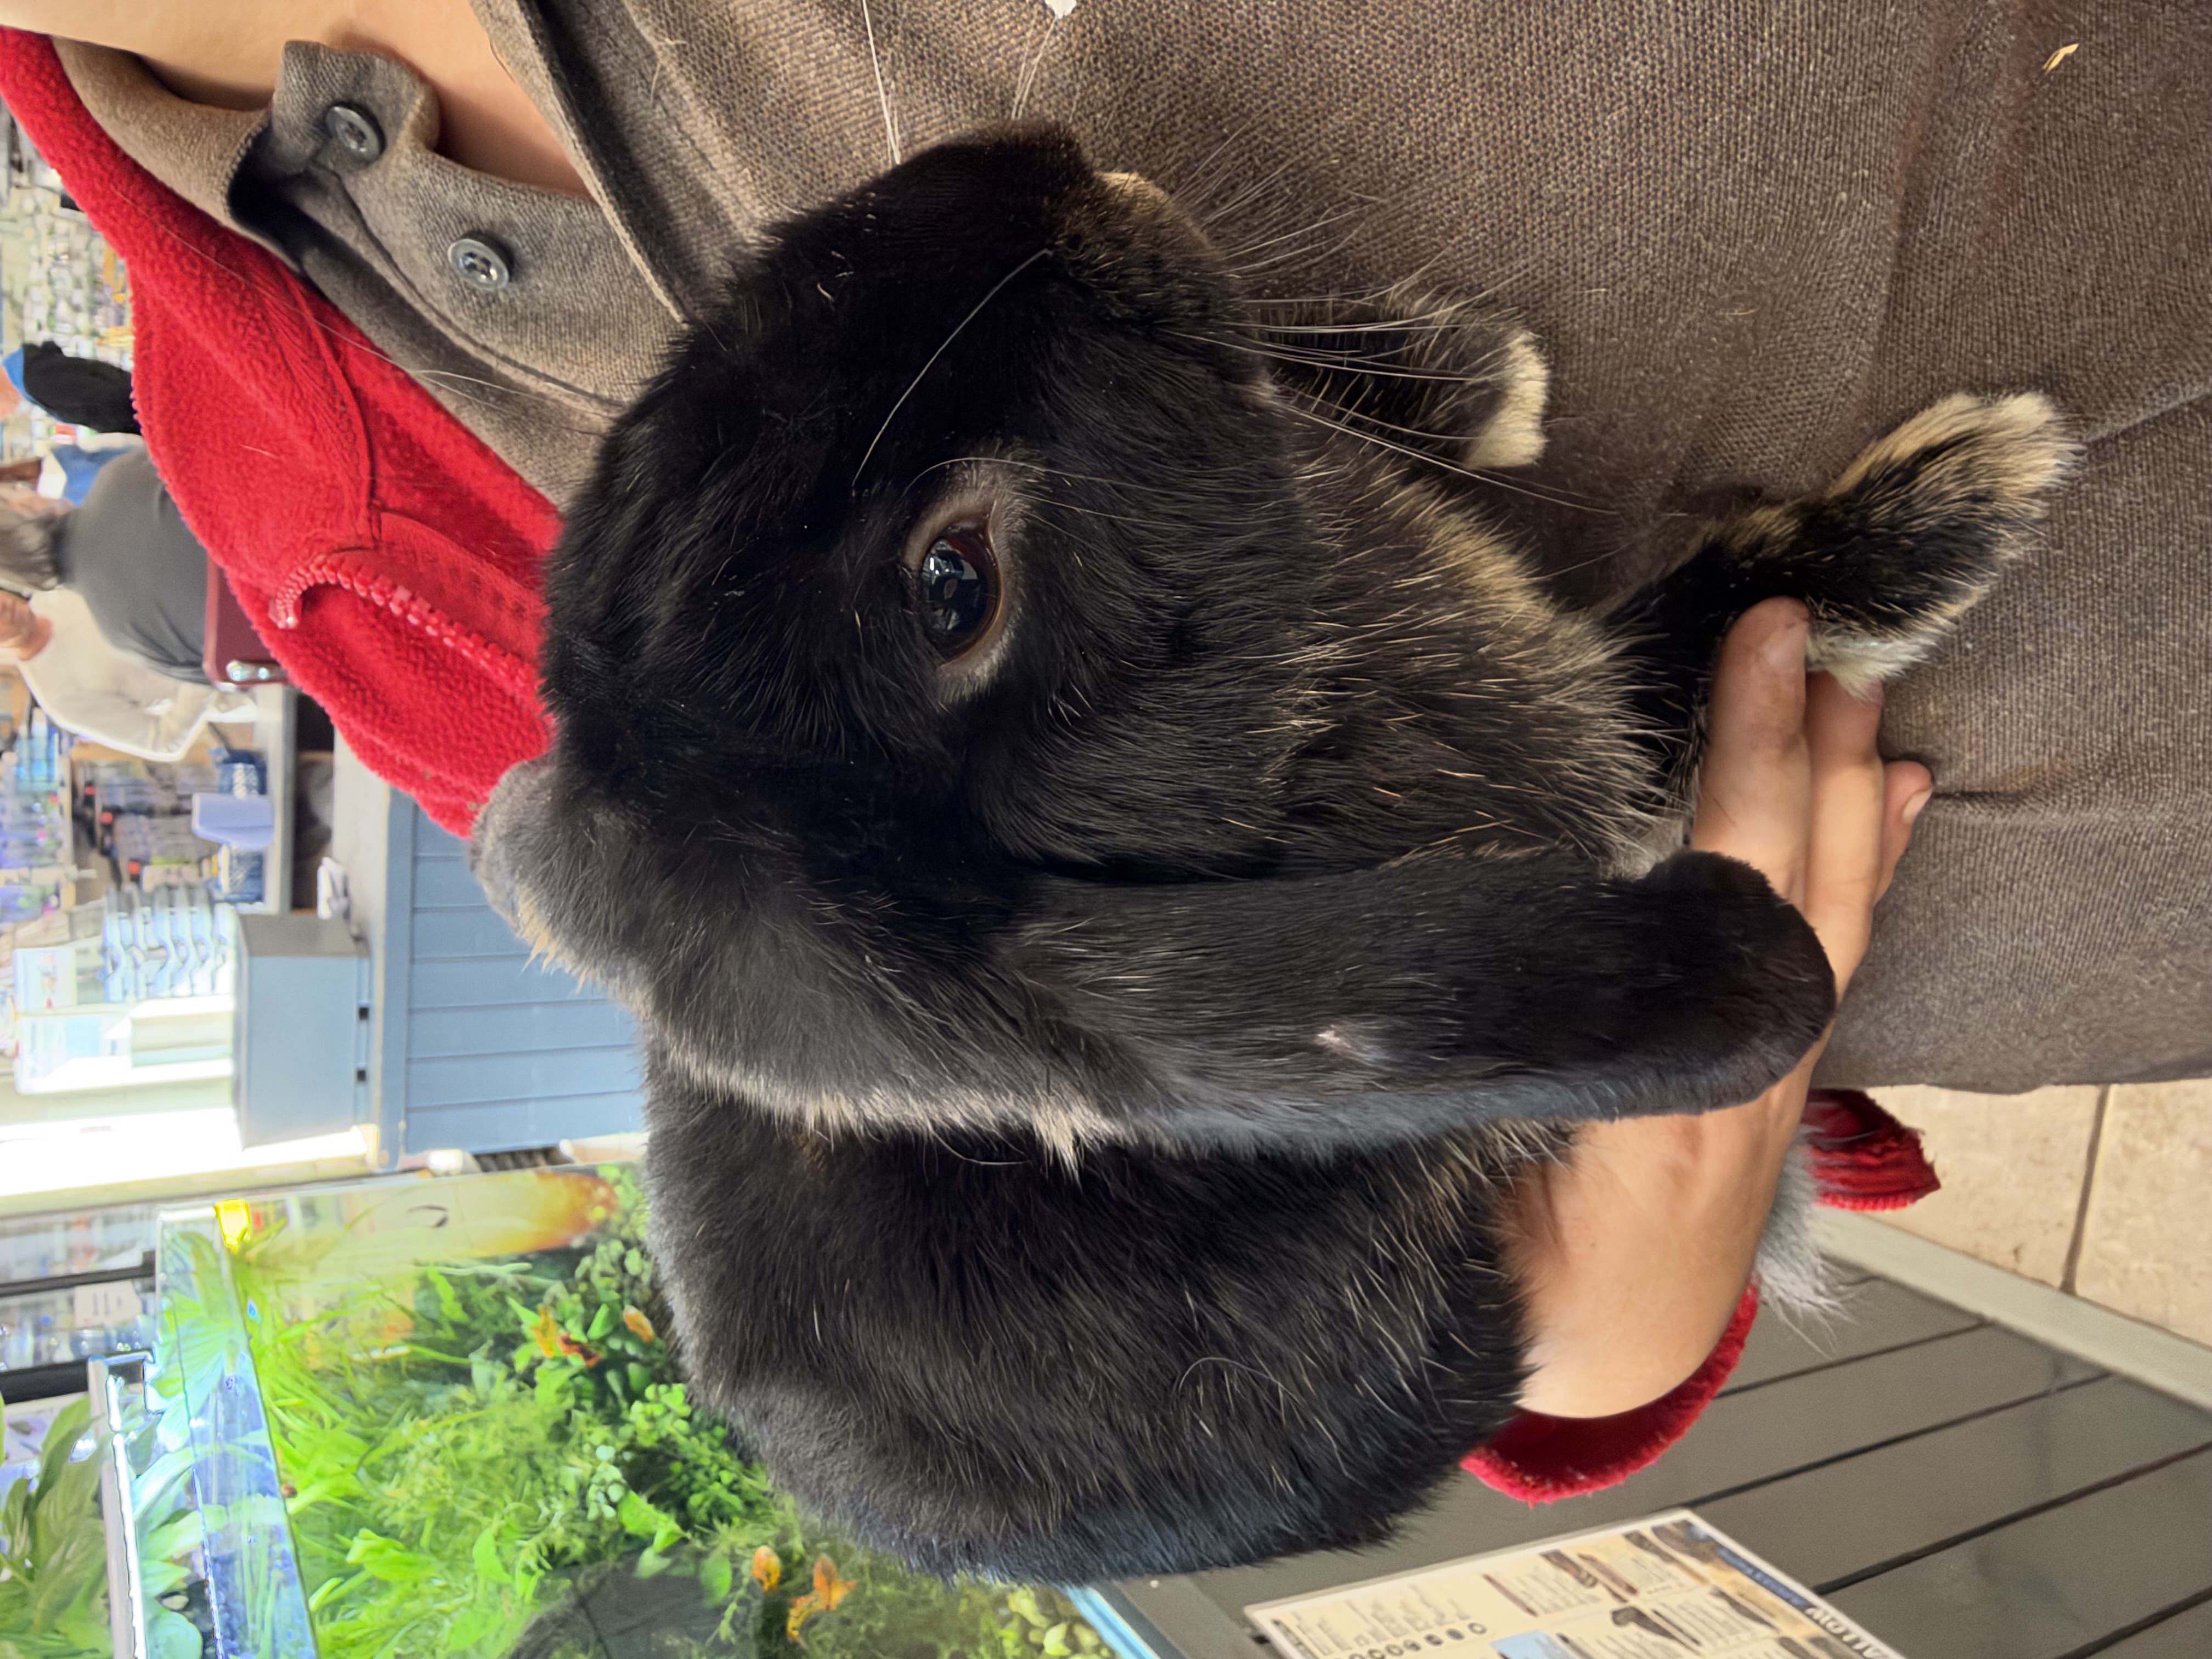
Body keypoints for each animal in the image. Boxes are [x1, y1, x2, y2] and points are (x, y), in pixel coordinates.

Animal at [470, 125, 2072, 1577]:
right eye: (951, 585)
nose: (1020, 163)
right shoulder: (1585, 768)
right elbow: (1687, 646)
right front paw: (1967, 493)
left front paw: (1469, 373)